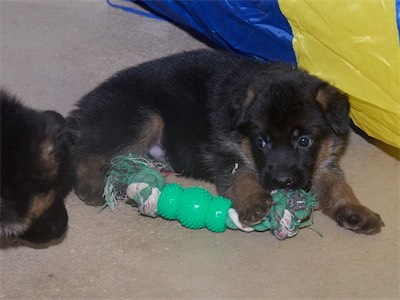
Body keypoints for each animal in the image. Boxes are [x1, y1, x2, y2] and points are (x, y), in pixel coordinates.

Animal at [68, 49, 384, 234]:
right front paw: (253, 201)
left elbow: (338, 185)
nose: (282, 182)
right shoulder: (224, 151)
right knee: (86, 152)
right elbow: (242, 174)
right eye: (261, 142)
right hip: (145, 117)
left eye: (304, 141)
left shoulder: (322, 162)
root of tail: (82, 109)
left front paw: (356, 211)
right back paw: (90, 185)